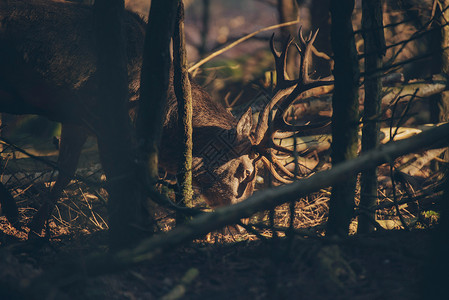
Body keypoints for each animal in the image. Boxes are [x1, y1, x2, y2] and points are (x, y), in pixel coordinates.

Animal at [0, 0, 328, 234]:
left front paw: (33, 230)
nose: (240, 223)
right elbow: (101, 174)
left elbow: (66, 172)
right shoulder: (92, 110)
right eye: (245, 171)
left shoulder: (76, 118)